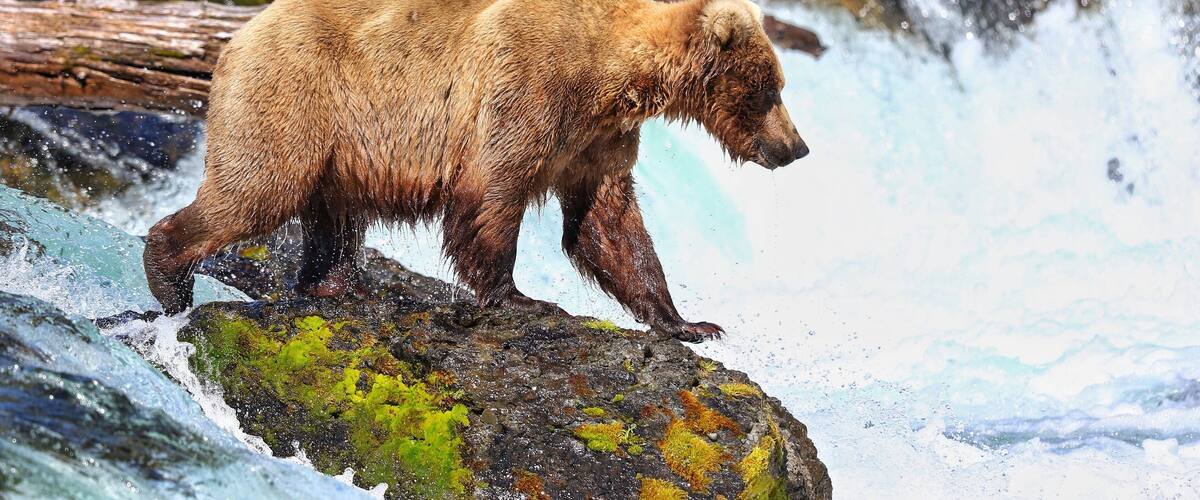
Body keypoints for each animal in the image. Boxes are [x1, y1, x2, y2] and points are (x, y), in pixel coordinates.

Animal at [143, 0, 808, 342]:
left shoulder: (596, 140)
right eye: (771, 89)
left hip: (339, 147)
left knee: (333, 216)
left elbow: (608, 224)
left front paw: (691, 322)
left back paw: (336, 284)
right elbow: (493, 193)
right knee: (256, 189)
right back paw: (169, 275)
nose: (797, 147)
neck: (611, 71)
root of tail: (234, 38)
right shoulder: (528, 88)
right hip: (296, 96)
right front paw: (520, 298)